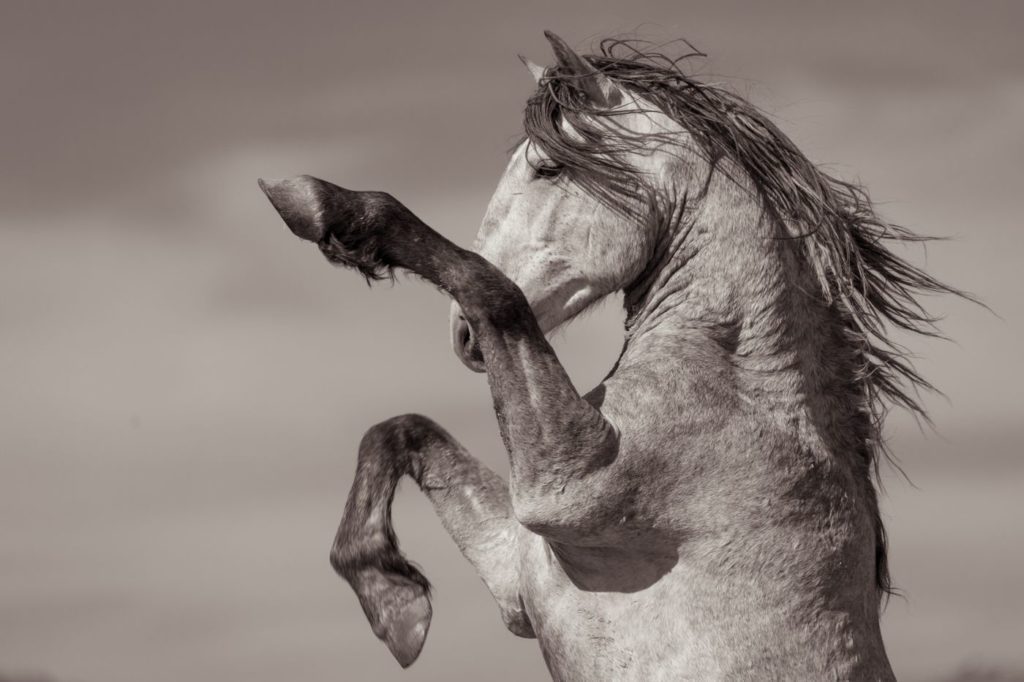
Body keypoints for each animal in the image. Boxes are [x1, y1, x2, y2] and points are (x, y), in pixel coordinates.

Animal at [256, 30, 958, 675]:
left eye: (548, 167)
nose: (462, 338)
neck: (742, 382)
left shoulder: (562, 483)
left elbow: (493, 289)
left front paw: (320, 205)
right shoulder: (519, 573)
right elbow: (400, 430)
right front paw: (393, 600)